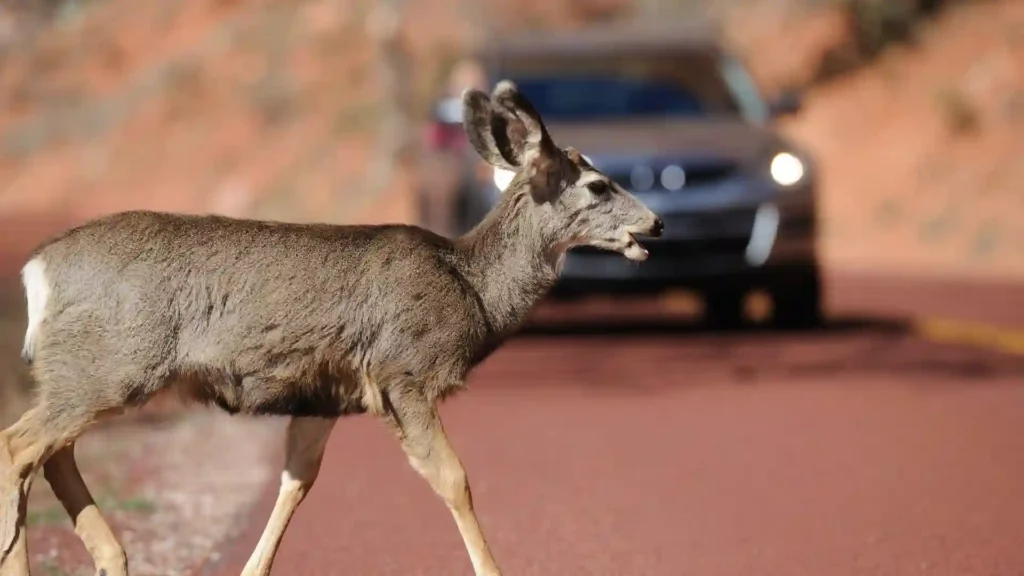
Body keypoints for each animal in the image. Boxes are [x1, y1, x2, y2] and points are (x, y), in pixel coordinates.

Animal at [0, 80, 662, 576]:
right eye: (598, 185)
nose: (654, 224)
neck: (472, 287)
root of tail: (37, 270)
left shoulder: (324, 394)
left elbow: (296, 482)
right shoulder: (402, 371)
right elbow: (454, 479)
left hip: (89, 372)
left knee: (52, 454)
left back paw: (112, 557)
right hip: (111, 364)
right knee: (19, 446)